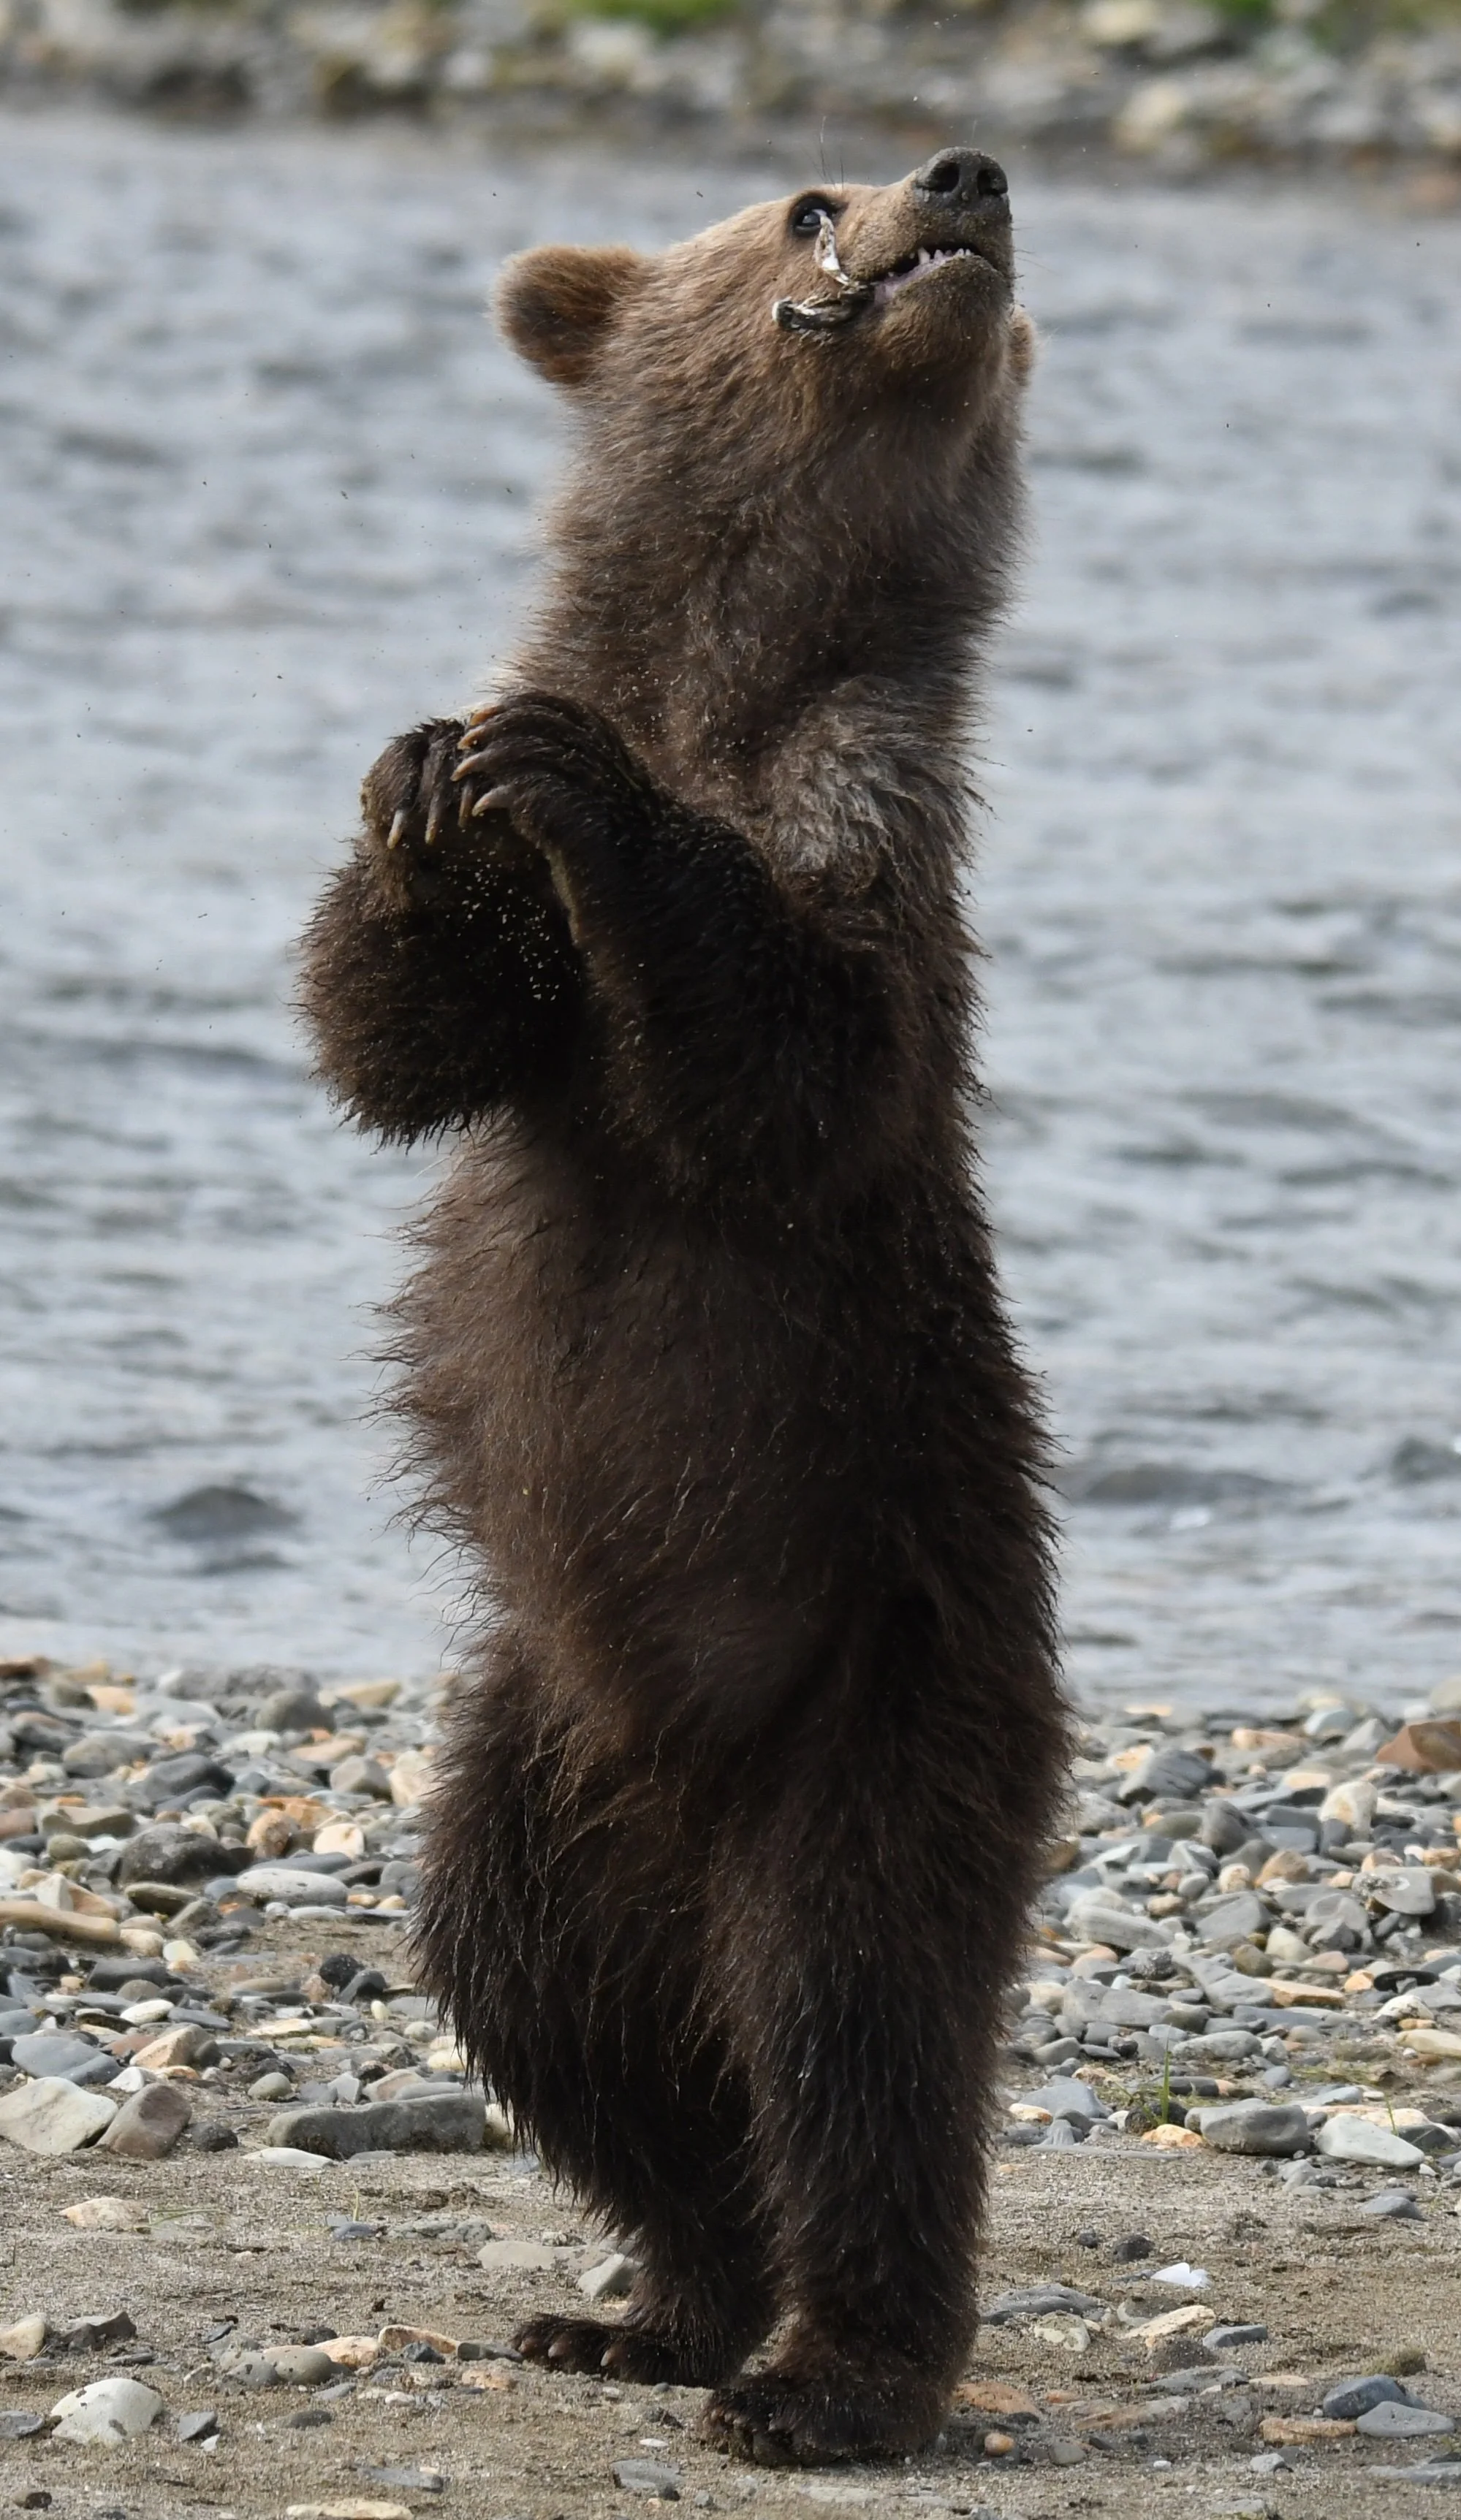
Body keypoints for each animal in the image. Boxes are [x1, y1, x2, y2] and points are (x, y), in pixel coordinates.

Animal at [301, 148, 1070, 2467]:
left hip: (880, 1680)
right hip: (532, 1758)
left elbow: (783, 1053)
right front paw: (420, 796)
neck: (724, 666)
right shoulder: (520, 1032)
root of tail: (678, 1797)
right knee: (543, 2006)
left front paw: (566, 783)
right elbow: (404, 1043)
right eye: (804, 197)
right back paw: (652, 2299)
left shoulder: (866, 831)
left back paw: (825, 2369)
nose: (961, 171)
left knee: (851, 2026)